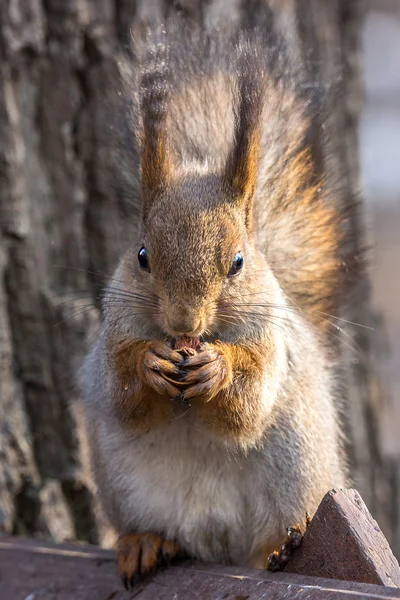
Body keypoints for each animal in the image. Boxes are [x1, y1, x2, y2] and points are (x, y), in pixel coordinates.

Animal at [79, 15, 354, 592]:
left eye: (238, 262)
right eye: (142, 256)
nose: (183, 321)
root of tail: (219, 547)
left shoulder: (271, 344)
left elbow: (246, 406)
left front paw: (218, 369)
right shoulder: (114, 330)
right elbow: (123, 394)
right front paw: (150, 362)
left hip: (297, 469)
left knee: (272, 537)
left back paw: (280, 549)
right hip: (121, 484)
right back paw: (144, 544)